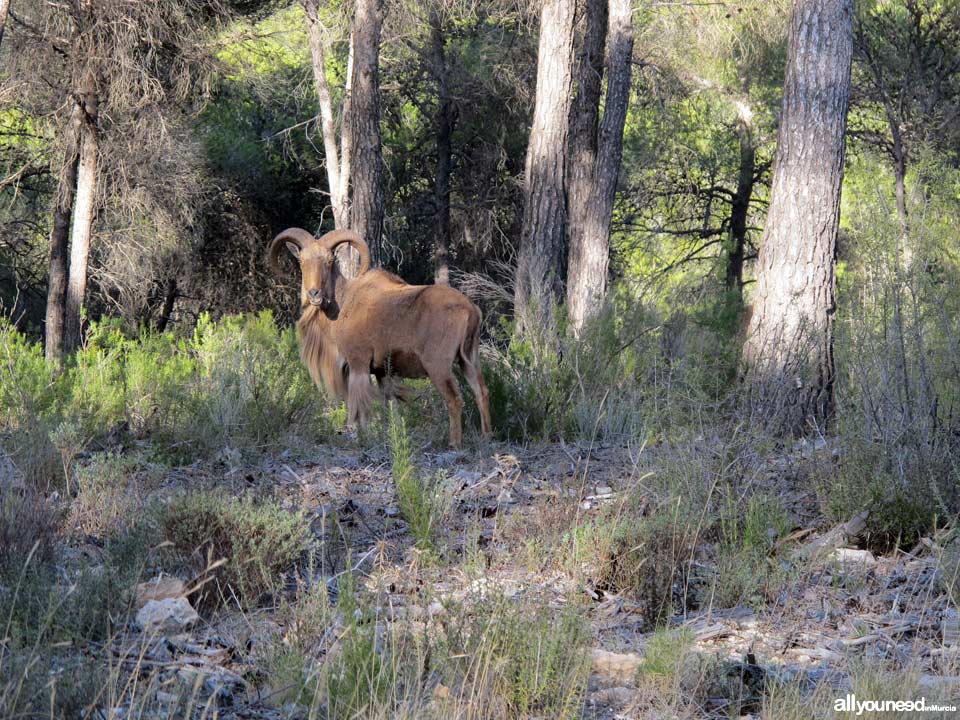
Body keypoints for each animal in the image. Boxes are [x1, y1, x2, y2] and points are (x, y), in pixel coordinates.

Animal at [272, 228, 492, 448]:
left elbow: (359, 408)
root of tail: (470, 309)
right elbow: (391, 406)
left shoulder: (358, 363)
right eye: (302, 261)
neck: (344, 304)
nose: (314, 293)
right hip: (469, 359)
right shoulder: (382, 372)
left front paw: (362, 438)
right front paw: (392, 436)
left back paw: (454, 443)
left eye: (329, 260)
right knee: (481, 392)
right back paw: (486, 437)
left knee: (454, 399)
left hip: (438, 366)